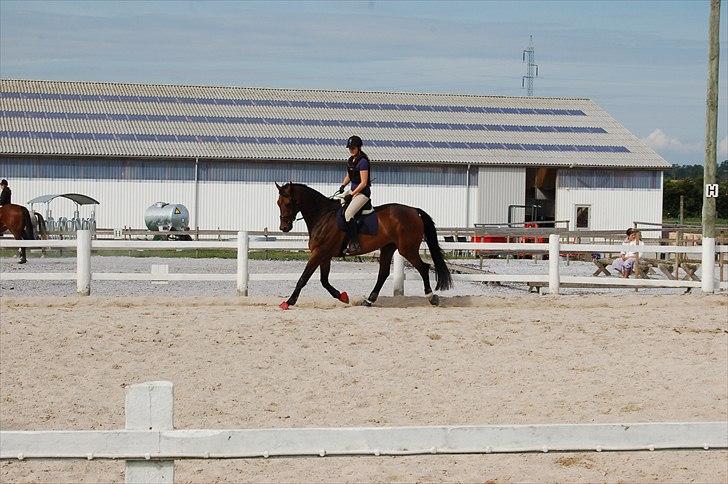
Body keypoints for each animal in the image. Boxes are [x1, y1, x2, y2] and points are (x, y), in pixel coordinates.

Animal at [276, 182, 452, 310]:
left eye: (288, 203)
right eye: (278, 203)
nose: (284, 227)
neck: (323, 216)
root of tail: (414, 211)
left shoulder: (319, 253)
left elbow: (303, 278)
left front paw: (288, 302)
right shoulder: (324, 255)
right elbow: (324, 281)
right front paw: (342, 297)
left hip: (407, 249)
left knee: (423, 268)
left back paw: (431, 297)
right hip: (388, 247)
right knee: (383, 274)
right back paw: (369, 301)